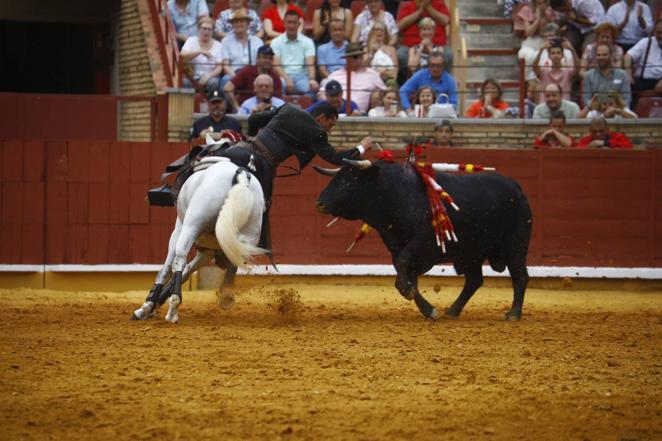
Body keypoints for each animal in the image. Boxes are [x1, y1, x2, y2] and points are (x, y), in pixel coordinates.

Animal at [132, 156, 268, 322]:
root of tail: (240, 174)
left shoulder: (179, 228)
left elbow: (167, 268)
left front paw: (146, 307)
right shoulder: (208, 251)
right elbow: (188, 270)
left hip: (192, 225)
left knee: (179, 258)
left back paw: (173, 310)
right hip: (248, 235)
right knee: (236, 260)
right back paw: (226, 294)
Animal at [316, 162, 536, 320]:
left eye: (349, 180)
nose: (320, 203)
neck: (397, 195)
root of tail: (517, 188)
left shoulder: (422, 242)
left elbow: (404, 269)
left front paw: (409, 292)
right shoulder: (396, 248)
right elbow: (406, 273)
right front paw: (427, 309)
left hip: (515, 245)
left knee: (520, 276)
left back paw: (513, 314)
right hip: (471, 252)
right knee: (474, 280)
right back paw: (452, 311)